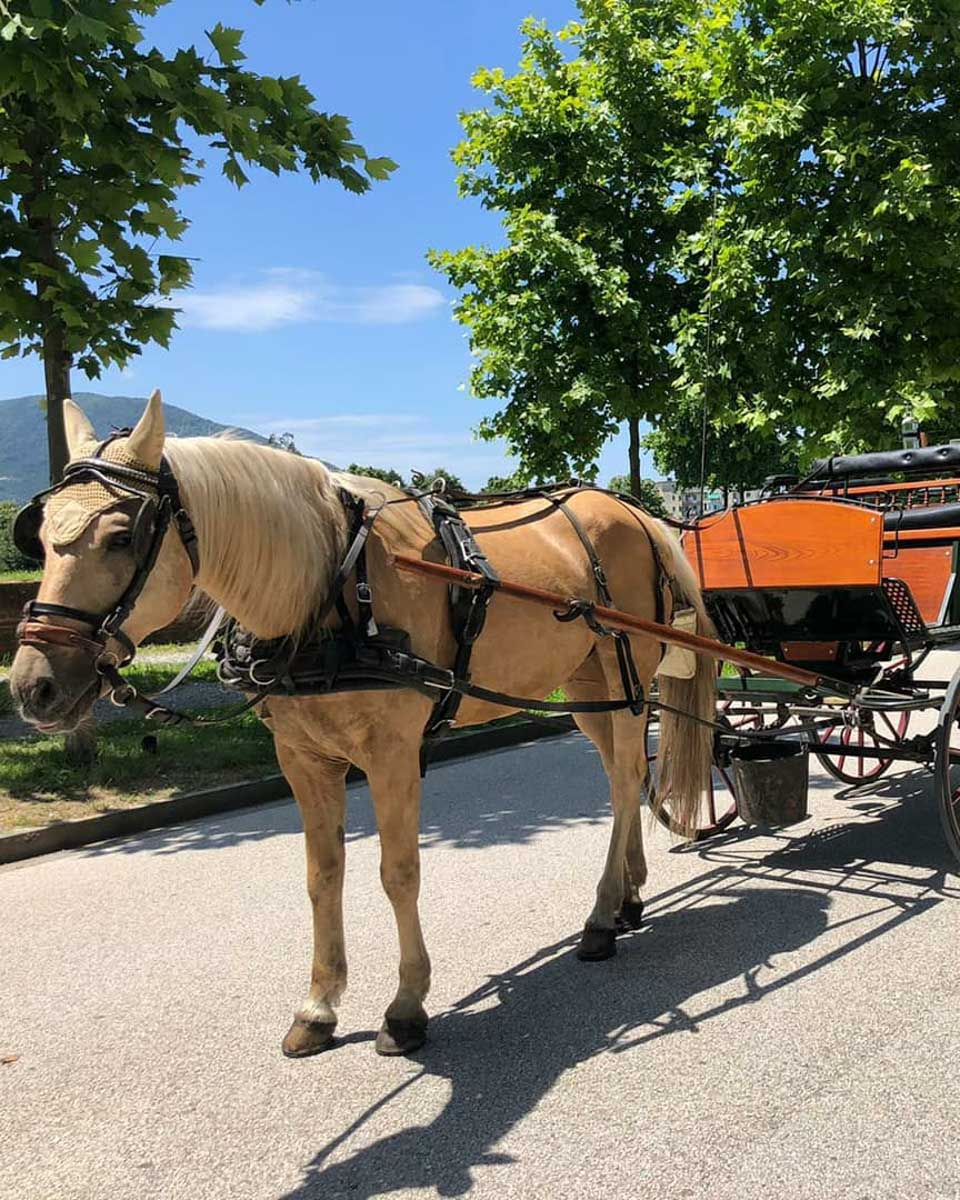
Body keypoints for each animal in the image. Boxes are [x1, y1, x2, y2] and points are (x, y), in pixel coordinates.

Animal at [9, 391, 715, 1058]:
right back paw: (627, 895)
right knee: (618, 776)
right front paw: (318, 1007)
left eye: (121, 537)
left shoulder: (393, 756)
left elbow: (398, 873)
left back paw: (601, 916)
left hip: (626, 681)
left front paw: (405, 1008)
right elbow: (323, 876)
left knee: (624, 783)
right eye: (39, 537)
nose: (33, 686)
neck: (331, 591)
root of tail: (635, 512)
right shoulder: (302, 760)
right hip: (588, 690)